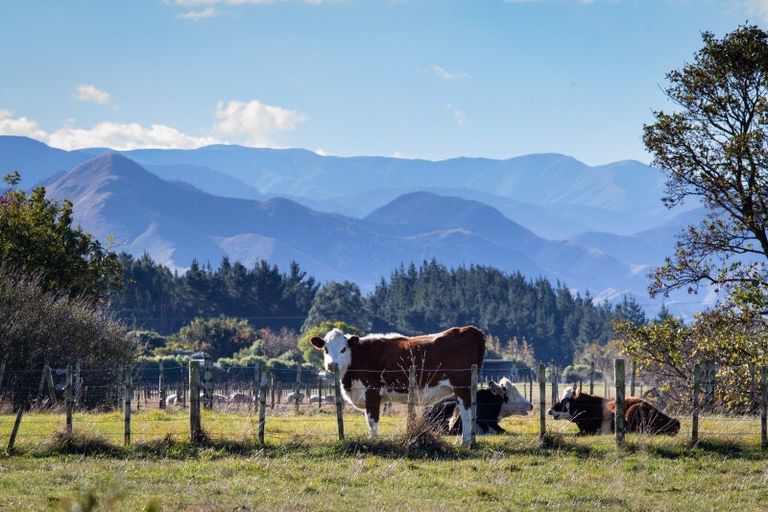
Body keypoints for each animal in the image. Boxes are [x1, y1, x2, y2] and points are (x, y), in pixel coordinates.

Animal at [308, 328, 484, 444]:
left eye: (343, 349)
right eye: (326, 349)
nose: (332, 364)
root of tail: (468, 329)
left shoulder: (372, 392)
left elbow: (372, 419)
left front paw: (373, 441)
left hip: (462, 387)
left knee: (466, 413)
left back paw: (465, 442)